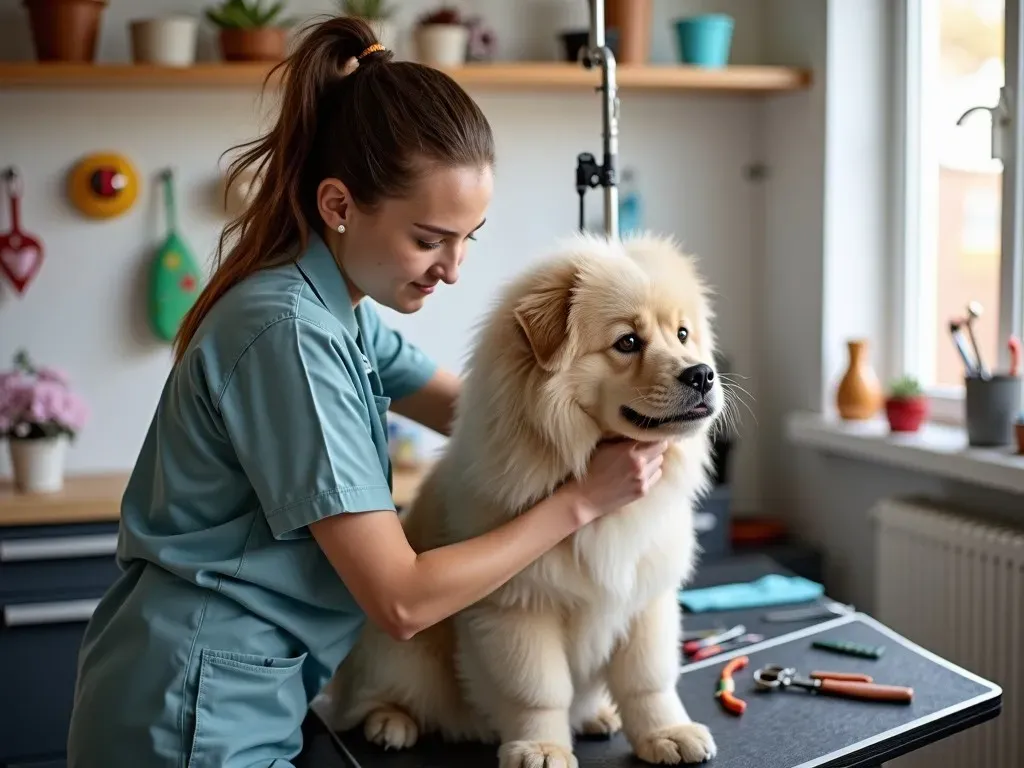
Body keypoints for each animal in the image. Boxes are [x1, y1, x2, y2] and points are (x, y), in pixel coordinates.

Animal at [323, 231, 724, 765]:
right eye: (628, 342)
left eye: (681, 335)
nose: (702, 374)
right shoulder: (518, 607)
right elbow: (539, 692)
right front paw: (542, 748)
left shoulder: (646, 597)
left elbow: (649, 681)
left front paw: (667, 734)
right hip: (401, 652)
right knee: (373, 695)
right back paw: (390, 722)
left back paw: (598, 715)